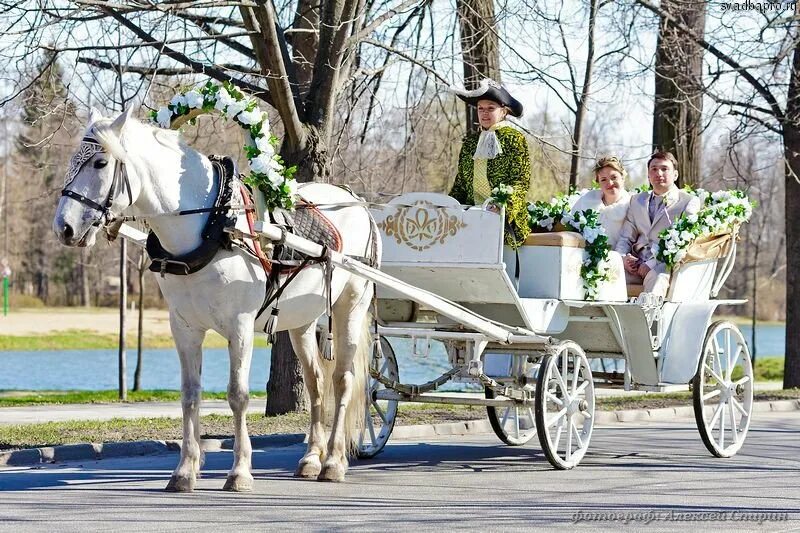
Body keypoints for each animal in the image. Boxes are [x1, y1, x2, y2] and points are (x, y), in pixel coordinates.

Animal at [53, 109, 378, 490]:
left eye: (101, 162)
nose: (64, 228)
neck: (211, 224)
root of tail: (356, 201)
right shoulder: (184, 327)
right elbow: (190, 394)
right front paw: (184, 470)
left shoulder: (239, 326)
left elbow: (237, 394)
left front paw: (239, 471)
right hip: (302, 320)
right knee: (315, 383)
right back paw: (312, 458)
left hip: (351, 305)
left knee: (343, 380)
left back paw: (334, 462)